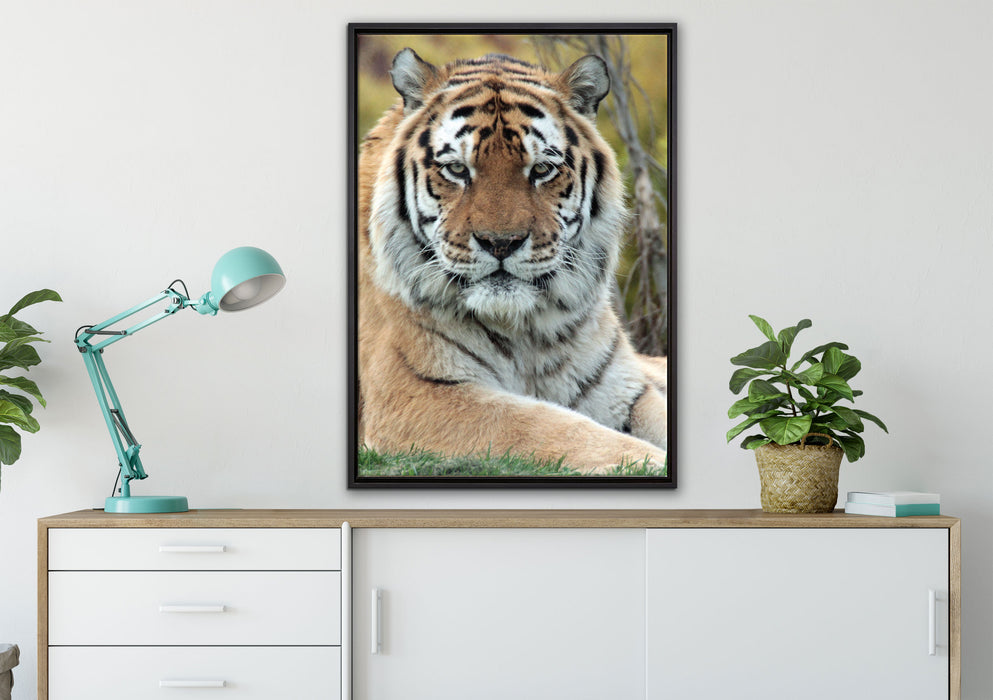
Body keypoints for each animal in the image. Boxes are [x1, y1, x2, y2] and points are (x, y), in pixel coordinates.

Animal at [357, 48, 668, 475]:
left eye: (541, 169)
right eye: (457, 169)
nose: (501, 243)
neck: (528, 332)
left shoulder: (625, 389)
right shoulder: (415, 394)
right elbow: (548, 425)